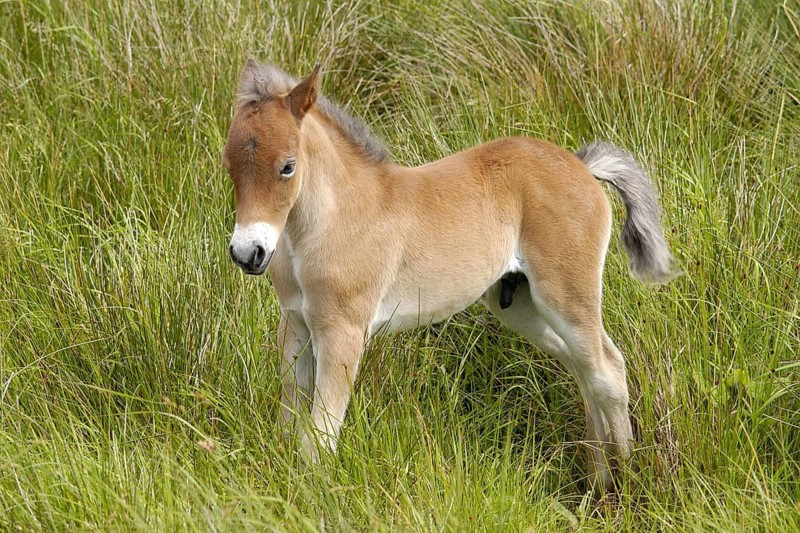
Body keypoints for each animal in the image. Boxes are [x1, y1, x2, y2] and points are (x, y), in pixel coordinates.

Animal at [223, 60, 677, 489]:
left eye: (287, 166)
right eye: (228, 162)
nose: (249, 253)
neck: (328, 221)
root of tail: (582, 166)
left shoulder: (342, 331)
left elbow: (320, 435)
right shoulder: (295, 324)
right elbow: (289, 420)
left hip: (566, 295)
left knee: (607, 371)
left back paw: (628, 479)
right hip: (520, 304)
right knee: (584, 368)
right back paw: (599, 480)